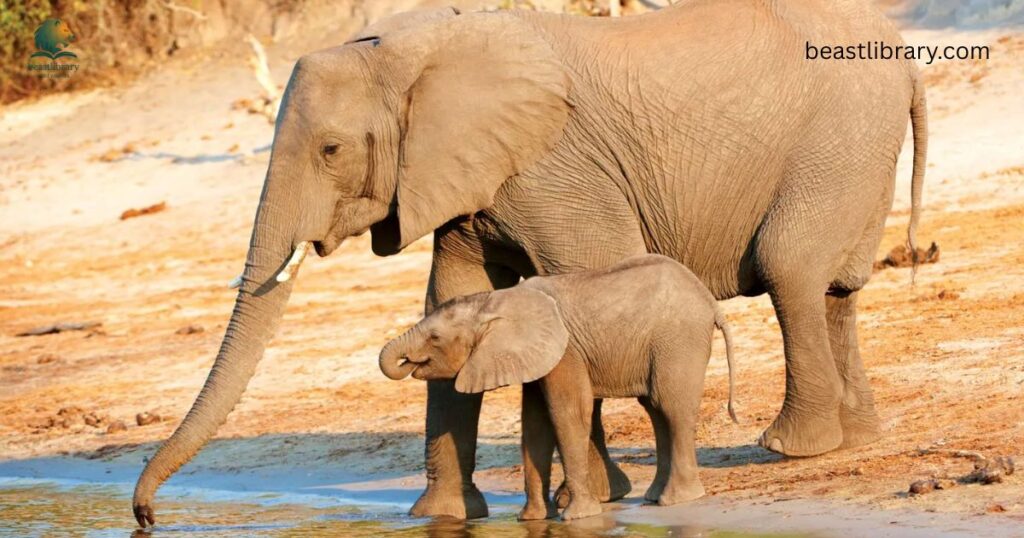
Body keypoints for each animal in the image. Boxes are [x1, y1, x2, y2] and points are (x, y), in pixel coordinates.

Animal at [378, 254, 738, 521]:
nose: (407, 361)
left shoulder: (565, 352)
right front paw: (533, 519)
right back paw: (654, 497)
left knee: (670, 406)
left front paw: (577, 517)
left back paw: (677, 500)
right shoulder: (538, 355)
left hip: (678, 339)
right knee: (654, 409)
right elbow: (535, 425)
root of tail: (709, 301)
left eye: (435, 338)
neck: (494, 302)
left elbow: (567, 412)